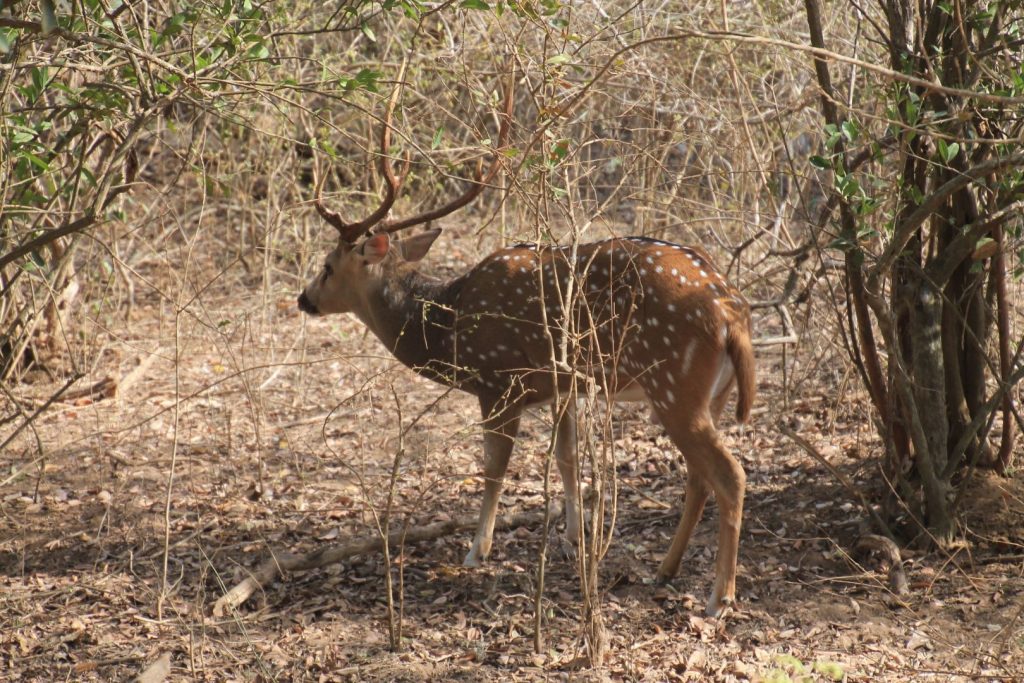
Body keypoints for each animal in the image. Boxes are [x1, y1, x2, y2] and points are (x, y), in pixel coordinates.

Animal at [296, 89, 753, 614]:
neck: (448, 328)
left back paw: (720, 596)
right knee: (700, 476)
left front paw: (477, 550)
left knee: (729, 474)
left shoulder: (499, 382)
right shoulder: (565, 386)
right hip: (710, 394)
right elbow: (567, 457)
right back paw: (666, 569)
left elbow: (495, 467)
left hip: (675, 385)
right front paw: (575, 537)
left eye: (328, 266)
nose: (304, 298)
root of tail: (731, 313)